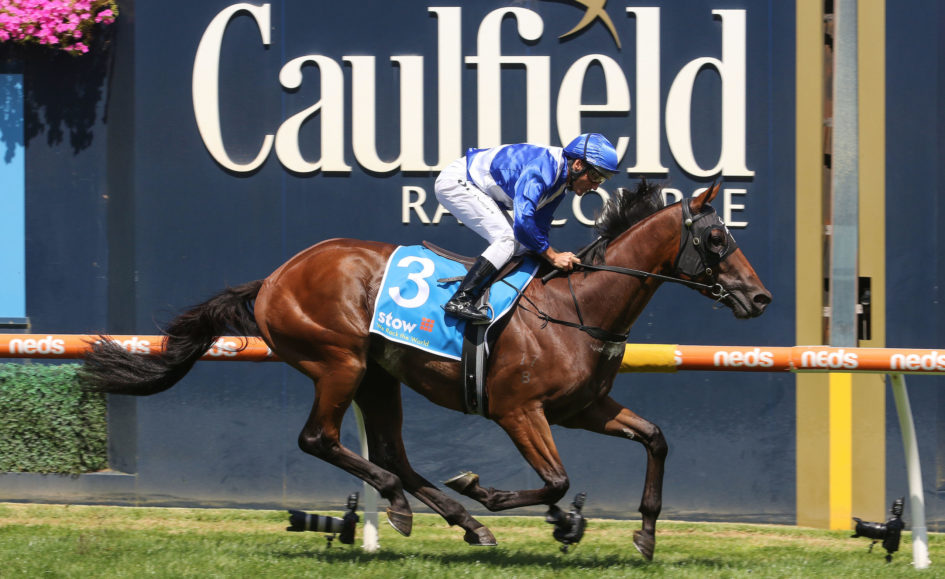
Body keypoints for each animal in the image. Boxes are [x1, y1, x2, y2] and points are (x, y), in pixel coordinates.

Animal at [80, 180, 771, 560]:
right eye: (716, 239)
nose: (760, 297)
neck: (579, 308)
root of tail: (274, 278)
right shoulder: (519, 410)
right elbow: (554, 481)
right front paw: (494, 494)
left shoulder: (583, 409)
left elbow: (655, 439)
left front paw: (645, 536)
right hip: (338, 361)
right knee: (321, 439)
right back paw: (411, 503)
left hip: (379, 375)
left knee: (392, 451)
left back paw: (456, 521)